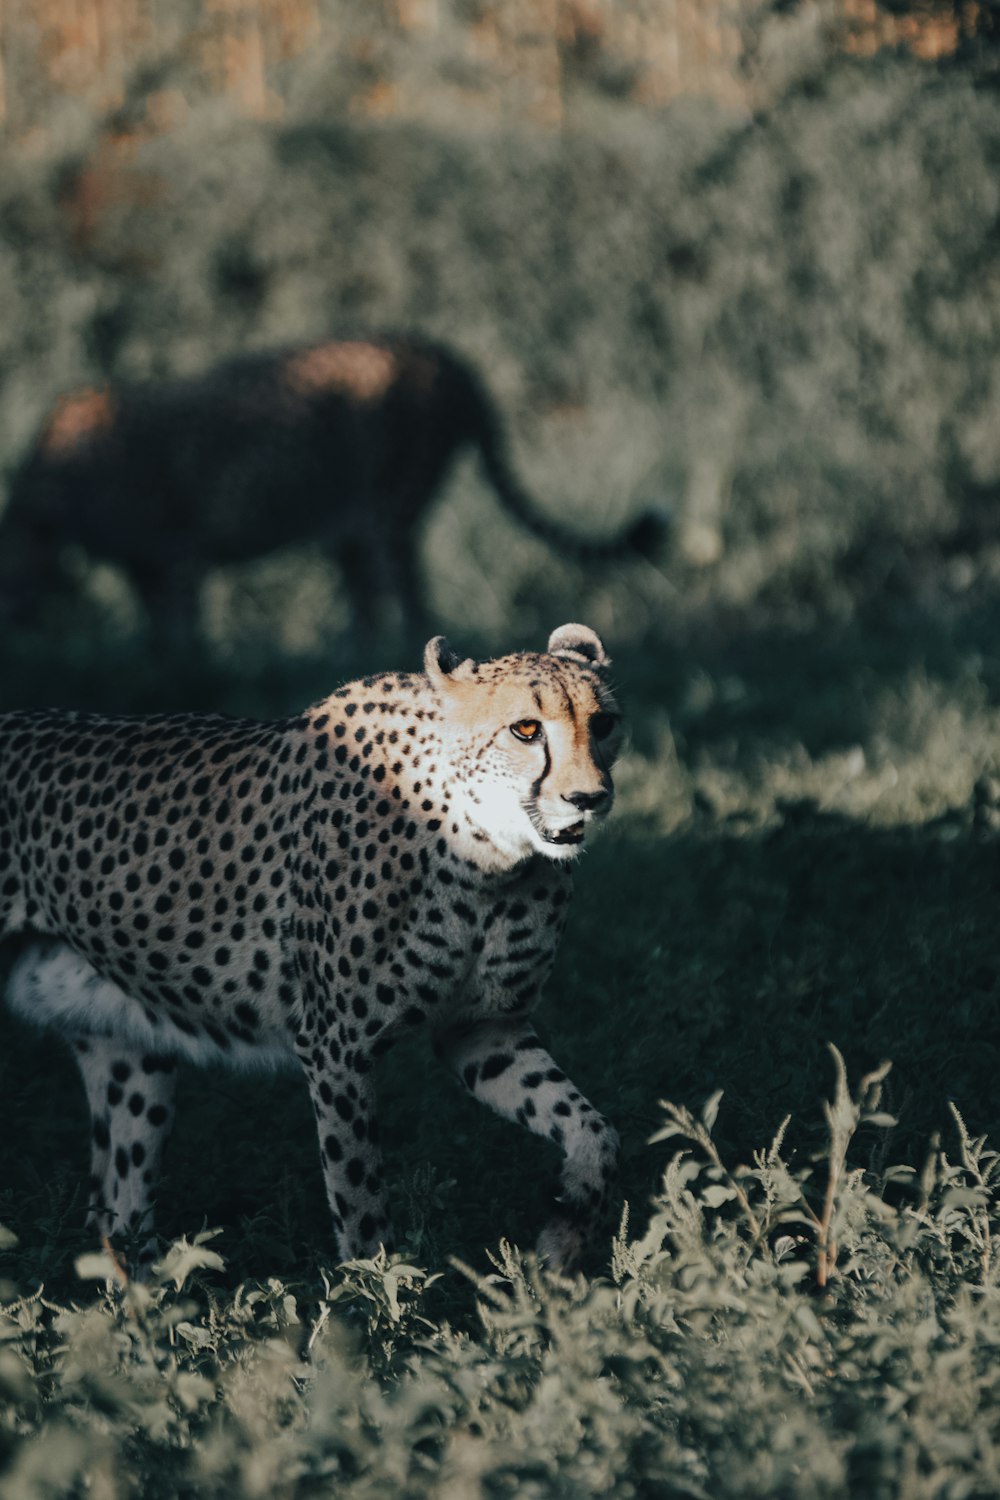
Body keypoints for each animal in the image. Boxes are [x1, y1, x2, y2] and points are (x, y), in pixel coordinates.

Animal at [1, 627, 626, 1272]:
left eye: (603, 723)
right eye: (525, 728)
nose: (588, 797)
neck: (487, 853)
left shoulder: (483, 1030)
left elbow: (596, 1132)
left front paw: (563, 1240)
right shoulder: (336, 1047)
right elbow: (359, 1198)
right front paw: (376, 1290)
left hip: (129, 1053)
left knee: (117, 1215)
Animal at [3, 334, 668, 639]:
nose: (20, 616)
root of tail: (438, 351)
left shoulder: (181, 555)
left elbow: (187, 637)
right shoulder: (147, 567)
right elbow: (159, 639)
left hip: (385, 514)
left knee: (411, 604)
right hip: (352, 531)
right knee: (372, 607)